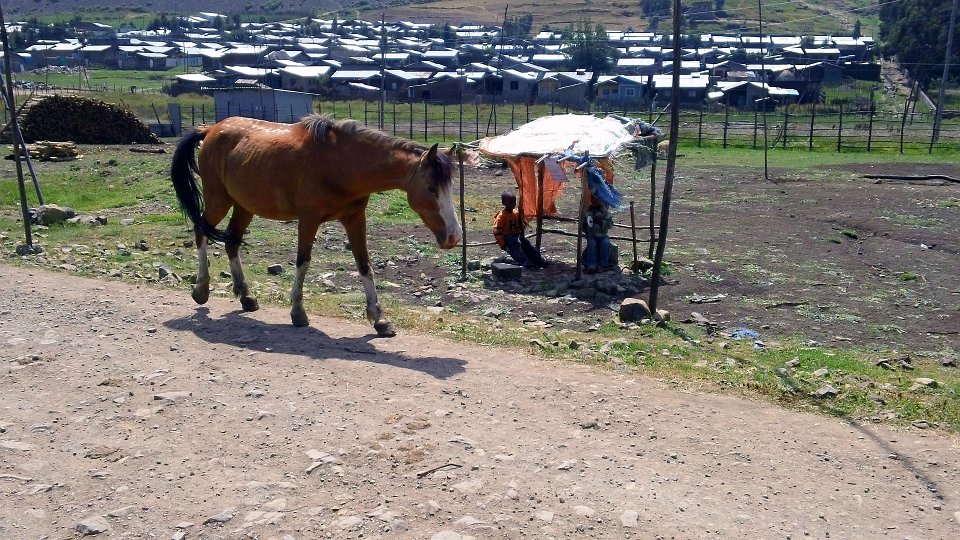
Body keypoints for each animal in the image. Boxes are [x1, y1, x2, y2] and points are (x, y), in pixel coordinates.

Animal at [169, 114, 462, 337]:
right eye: (431, 188)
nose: (454, 236)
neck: (341, 164)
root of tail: (210, 129)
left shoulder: (355, 218)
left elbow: (364, 265)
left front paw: (379, 320)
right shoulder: (308, 219)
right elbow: (303, 261)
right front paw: (298, 312)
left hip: (244, 206)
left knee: (232, 241)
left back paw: (246, 297)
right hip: (218, 200)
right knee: (201, 232)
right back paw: (201, 289)